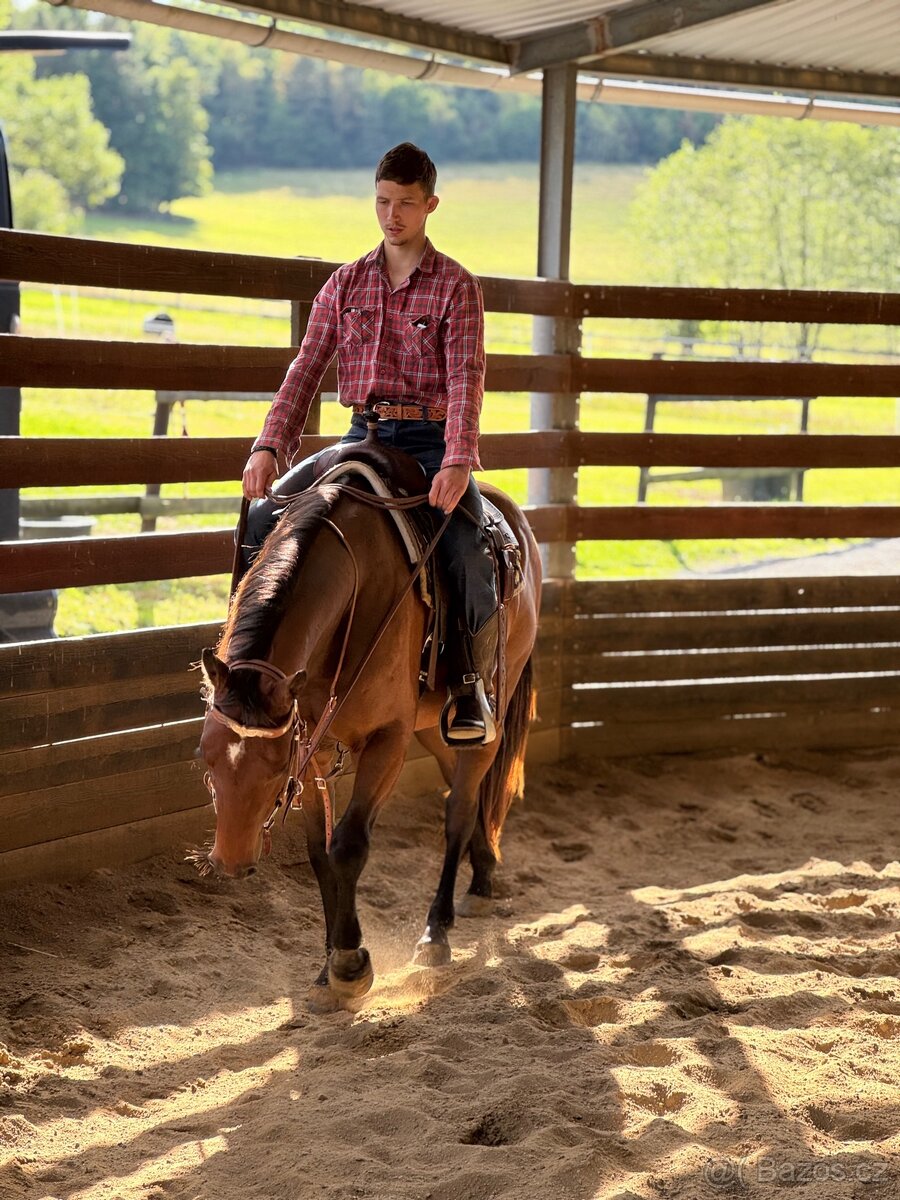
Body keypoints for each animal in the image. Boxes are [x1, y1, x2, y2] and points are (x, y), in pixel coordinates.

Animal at [197, 458, 541, 1013]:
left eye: (272, 771)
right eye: (205, 761)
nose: (229, 861)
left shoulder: (387, 740)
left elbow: (349, 846)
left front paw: (350, 966)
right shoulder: (312, 745)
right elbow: (320, 853)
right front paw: (327, 967)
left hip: (489, 712)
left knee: (460, 809)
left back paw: (437, 932)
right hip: (435, 730)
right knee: (467, 798)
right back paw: (484, 877)